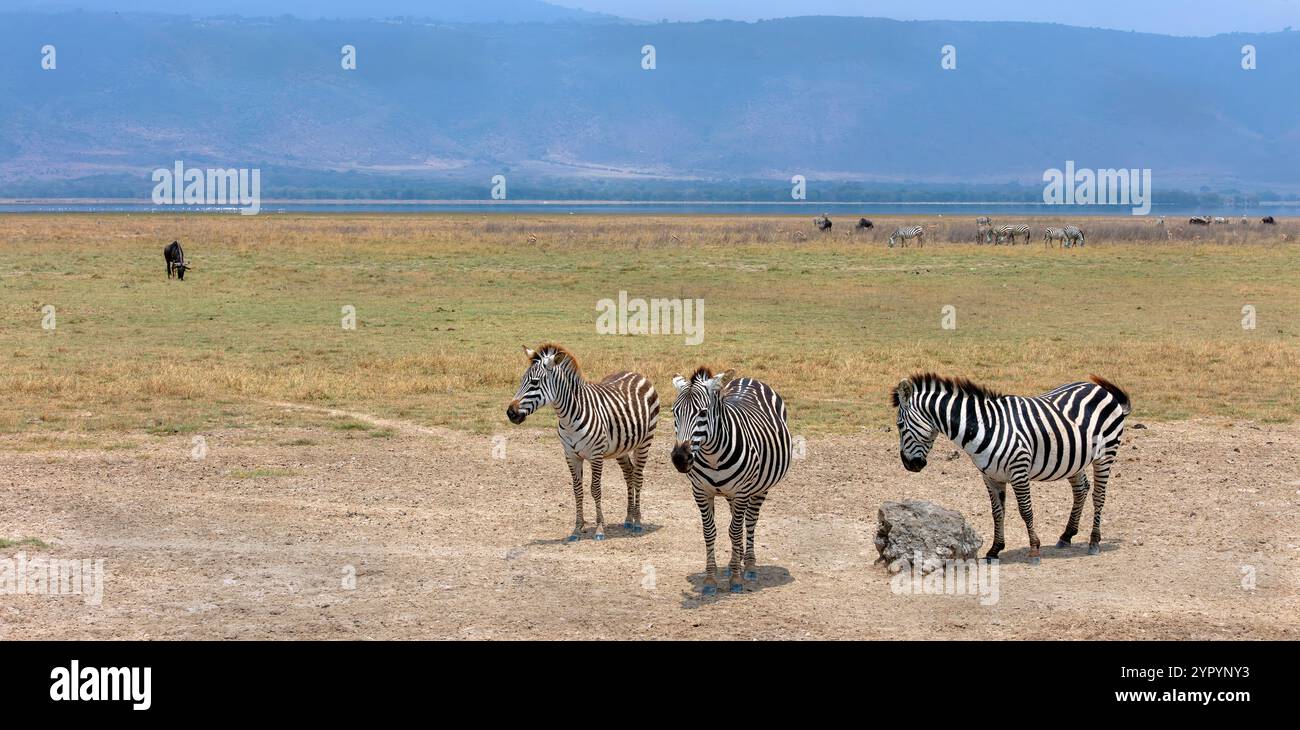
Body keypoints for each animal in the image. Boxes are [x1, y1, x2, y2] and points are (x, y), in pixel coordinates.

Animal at [506, 344, 658, 541]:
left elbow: (595, 489)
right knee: (629, 473)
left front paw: (599, 529)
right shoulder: (571, 455)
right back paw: (628, 518)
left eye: (534, 383)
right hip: (622, 446)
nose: (510, 413)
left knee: (638, 476)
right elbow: (577, 490)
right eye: (521, 380)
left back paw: (638, 522)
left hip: (644, 442)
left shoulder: (596, 455)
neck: (568, 417)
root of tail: (637, 374)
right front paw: (577, 529)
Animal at [670, 368, 792, 595]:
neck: (712, 456)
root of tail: (749, 379)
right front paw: (711, 579)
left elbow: (735, 531)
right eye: (675, 412)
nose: (680, 459)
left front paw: (736, 578)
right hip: (731, 494)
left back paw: (749, 566)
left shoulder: (742, 491)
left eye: (702, 413)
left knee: (750, 521)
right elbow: (710, 532)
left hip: (759, 488)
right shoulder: (701, 492)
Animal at [892, 373, 1130, 563]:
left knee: (1099, 496)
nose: (908, 464)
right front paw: (994, 549)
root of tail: (1099, 389)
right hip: (1074, 458)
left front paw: (1034, 550)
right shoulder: (990, 476)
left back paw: (1094, 541)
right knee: (1081, 490)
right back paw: (1066, 535)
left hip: (1105, 454)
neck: (984, 426)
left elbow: (1026, 511)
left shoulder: (1019, 471)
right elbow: (997, 513)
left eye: (899, 425)